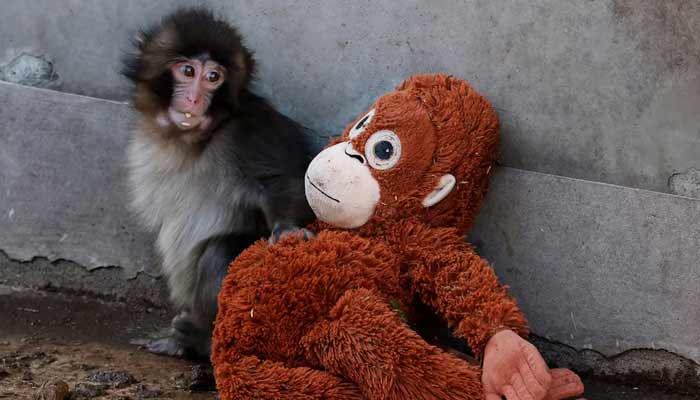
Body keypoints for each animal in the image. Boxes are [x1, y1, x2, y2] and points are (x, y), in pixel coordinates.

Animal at [121, 7, 315, 359]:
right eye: (187, 71)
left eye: (214, 77)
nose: (195, 98)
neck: (194, 139)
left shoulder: (248, 133)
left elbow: (286, 183)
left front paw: (287, 229)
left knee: (220, 252)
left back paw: (198, 338)